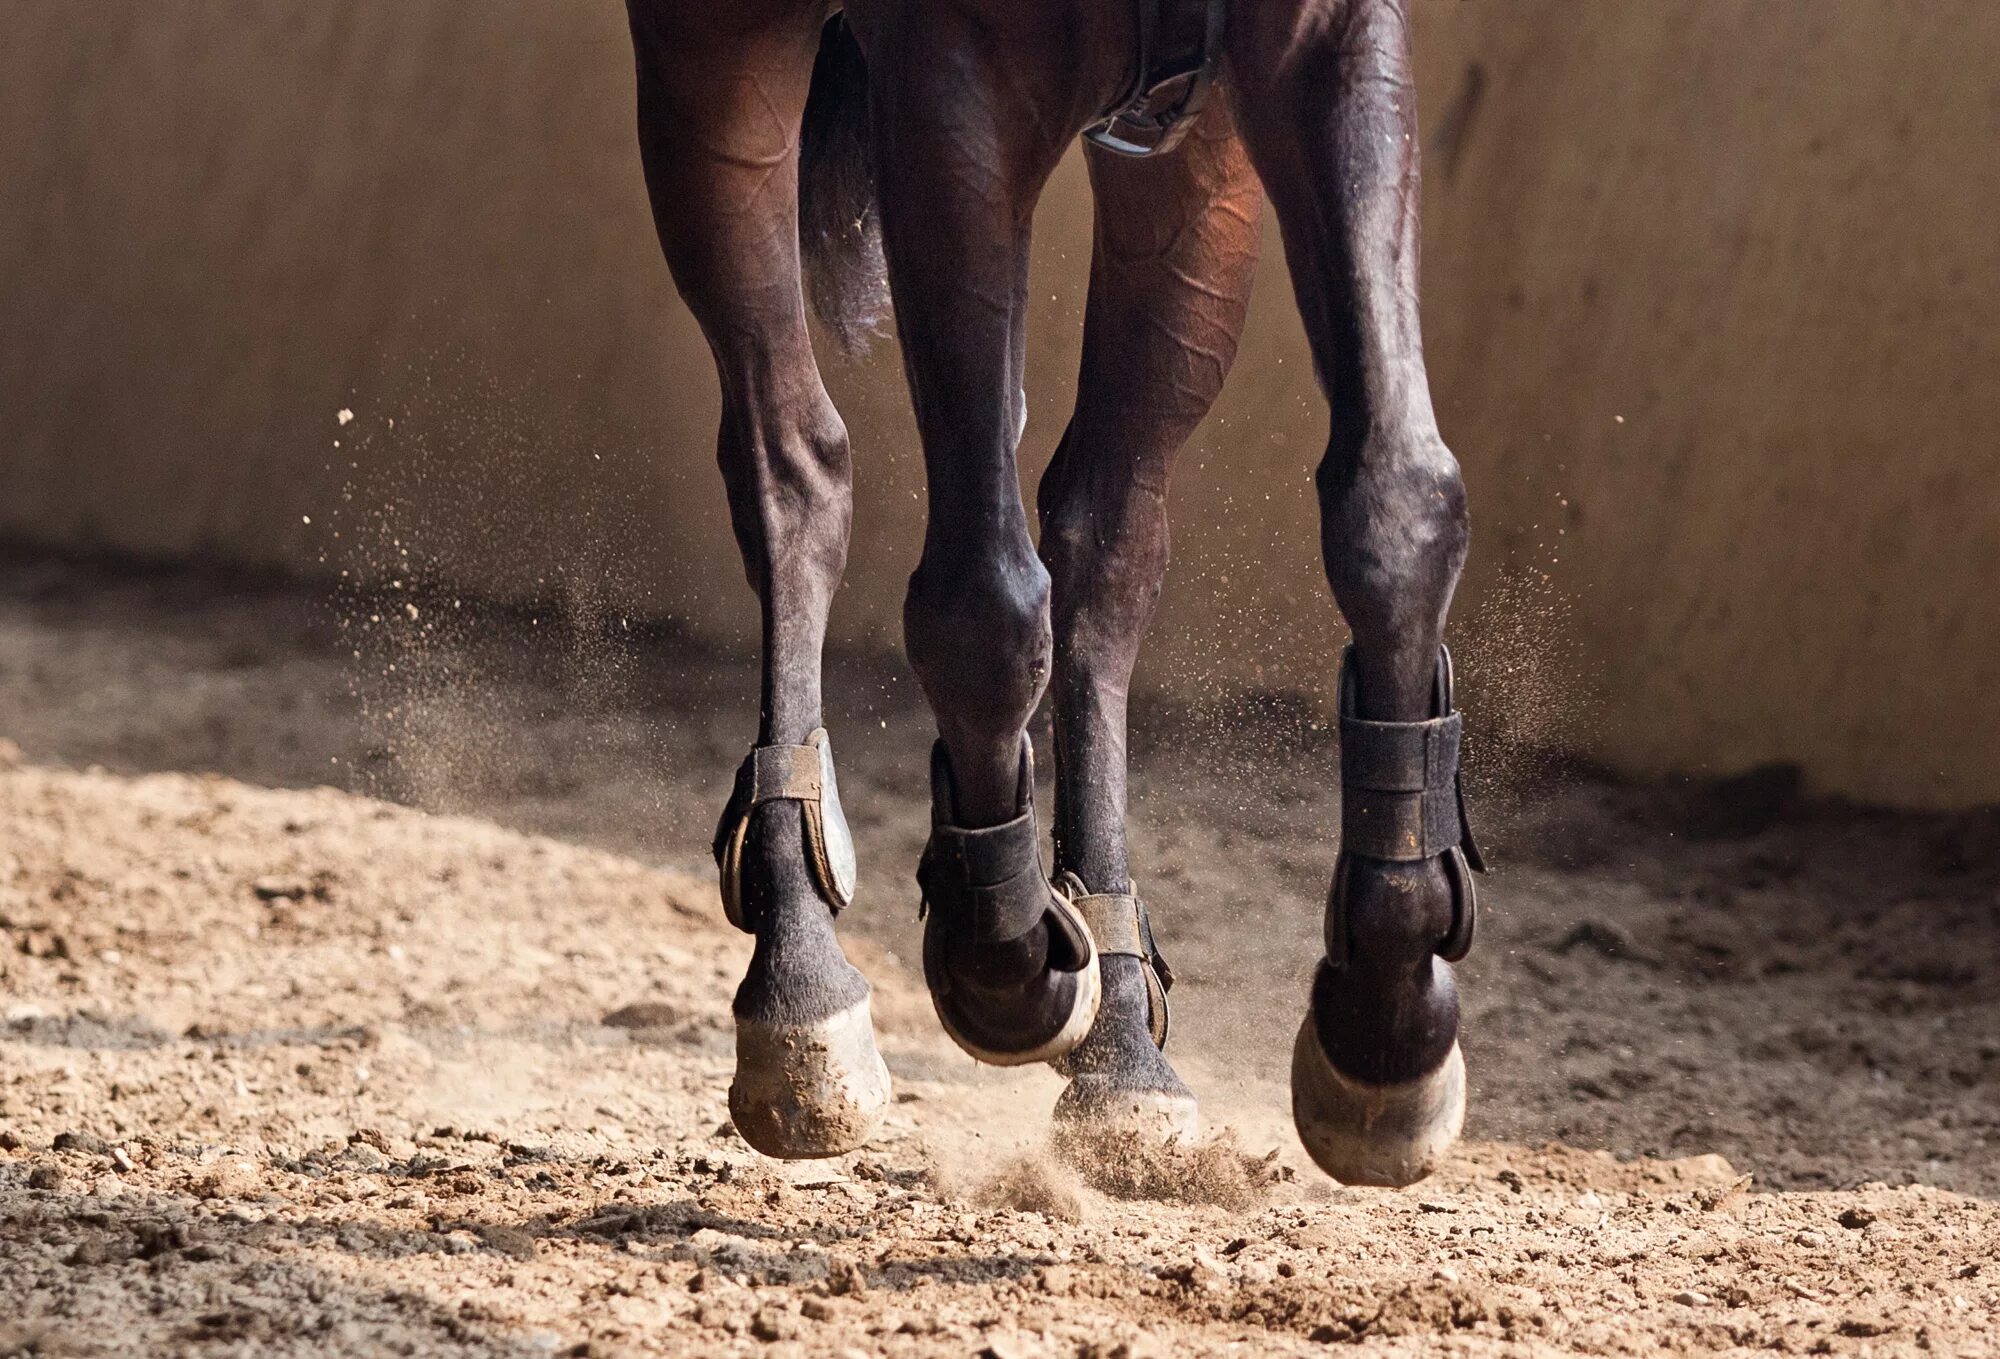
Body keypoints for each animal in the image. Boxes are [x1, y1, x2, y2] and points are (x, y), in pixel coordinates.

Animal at [624, 0, 1488, 1191]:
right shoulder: (952, 85)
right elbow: (978, 605)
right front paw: (999, 954)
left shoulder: (1314, 40)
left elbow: (1398, 502)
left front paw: (1387, 1023)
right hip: (714, 55)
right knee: (793, 467)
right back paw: (803, 989)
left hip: (1188, 173)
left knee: (1102, 543)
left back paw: (1120, 1045)